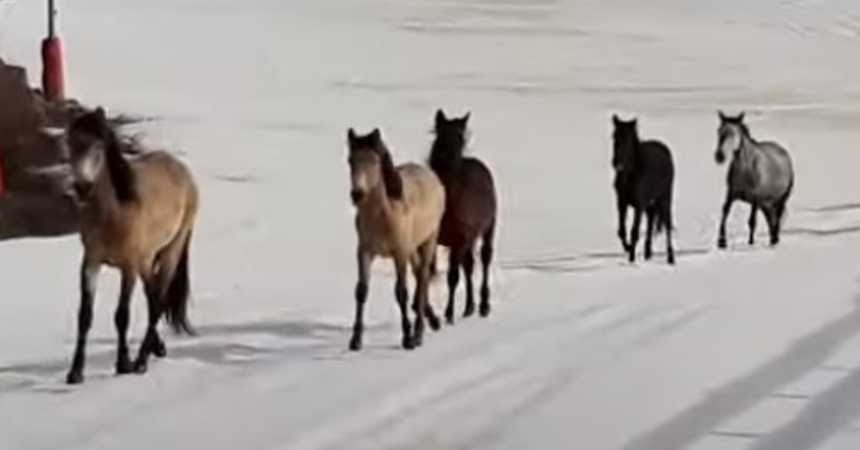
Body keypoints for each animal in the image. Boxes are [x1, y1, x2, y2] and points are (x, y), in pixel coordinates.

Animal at [63, 107, 198, 384]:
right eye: (70, 143)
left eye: (98, 147)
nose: (82, 188)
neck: (116, 211)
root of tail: (182, 170)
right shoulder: (91, 262)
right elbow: (85, 315)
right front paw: (75, 372)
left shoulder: (129, 268)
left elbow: (121, 315)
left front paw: (123, 363)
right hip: (148, 261)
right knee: (153, 298)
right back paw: (157, 349)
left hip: (170, 252)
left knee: (158, 302)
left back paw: (141, 362)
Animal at [347, 128, 445, 351]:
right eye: (350, 160)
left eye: (374, 161)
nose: (357, 194)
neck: (384, 215)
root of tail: (431, 176)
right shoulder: (364, 251)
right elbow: (361, 291)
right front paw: (355, 340)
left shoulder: (398, 254)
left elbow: (401, 292)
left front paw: (407, 338)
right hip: (412, 248)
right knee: (418, 273)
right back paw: (432, 319)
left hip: (428, 240)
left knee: (423, 276)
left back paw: (419, 333)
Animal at [428, 110, 498, 325]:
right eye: (440, 135)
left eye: (460, 138)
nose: (447, 158)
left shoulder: (458, 240)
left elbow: (452, 277)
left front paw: (449, 314)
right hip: (469, 238)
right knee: (469, 266)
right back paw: (469, 307)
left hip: (488, 229)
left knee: (484, 260)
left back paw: (484, 305)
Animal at [611, 115, 676, 264]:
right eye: (614, 136)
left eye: (628, 140)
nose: (617, 163)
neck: (630, 174)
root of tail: (666, 151)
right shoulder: (621, 203)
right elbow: (621, 231)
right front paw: (628, 248)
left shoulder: (639, 204)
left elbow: (634, 231)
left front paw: (631, 258)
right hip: (650, 203)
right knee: (651, 220)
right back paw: (648, 252)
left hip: (665, 198)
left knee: (667, 224)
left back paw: (670, 257)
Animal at [715, 111, 794, 249]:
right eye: (719, 131)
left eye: (734, 133)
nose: (719, 156)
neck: (745, 169)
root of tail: (784, 152)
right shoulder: (731, 194)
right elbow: (725, 212)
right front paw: (721, 242)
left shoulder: (755, 199)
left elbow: (752, 221)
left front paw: (750, 243)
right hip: (766, 203)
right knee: (771, 219)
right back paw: (773, 239)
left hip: (780, 199)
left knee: (777, 218)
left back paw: (775, 240)